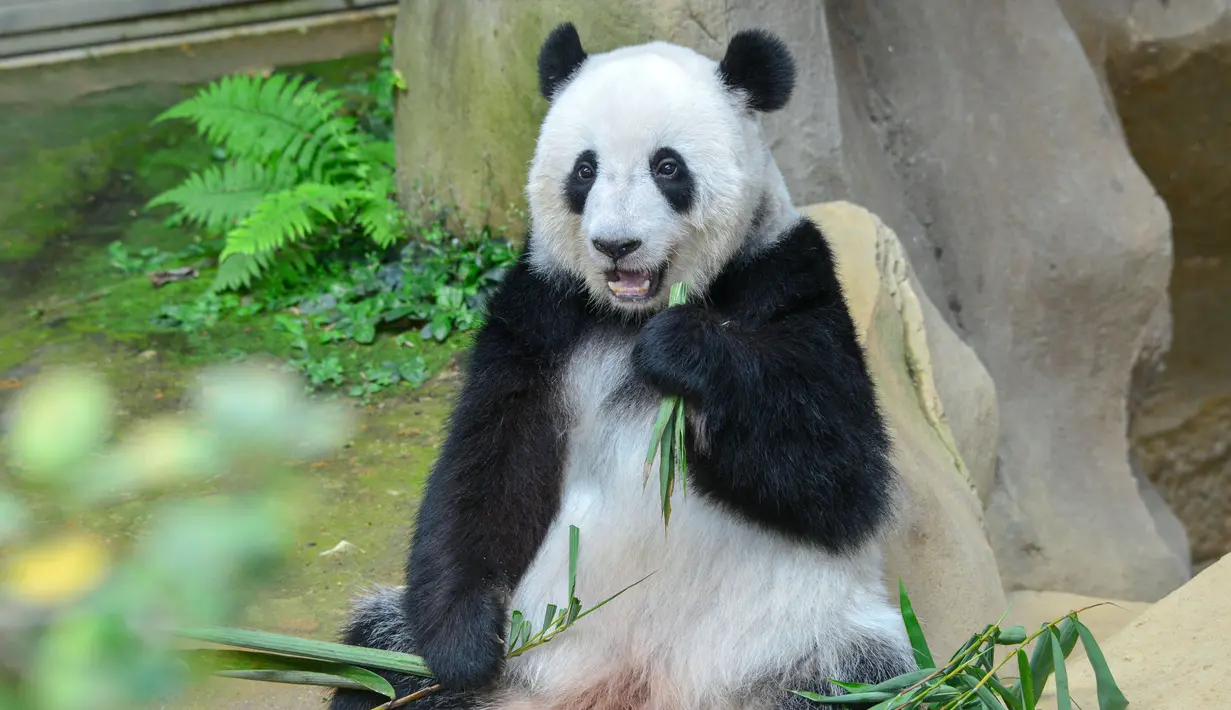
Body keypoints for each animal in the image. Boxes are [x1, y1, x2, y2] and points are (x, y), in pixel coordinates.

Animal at [328, 22, 916, 710]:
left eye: (668, 166)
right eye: (585, 169)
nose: (616, 245)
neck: (629, 315)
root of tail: (625, 688)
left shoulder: (788, 277)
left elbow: (842, 474)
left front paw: (682, 352)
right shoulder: (540, 314)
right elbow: (487, 465)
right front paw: (463, 645)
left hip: (801, 644)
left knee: (863, 679)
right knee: (376, 658)